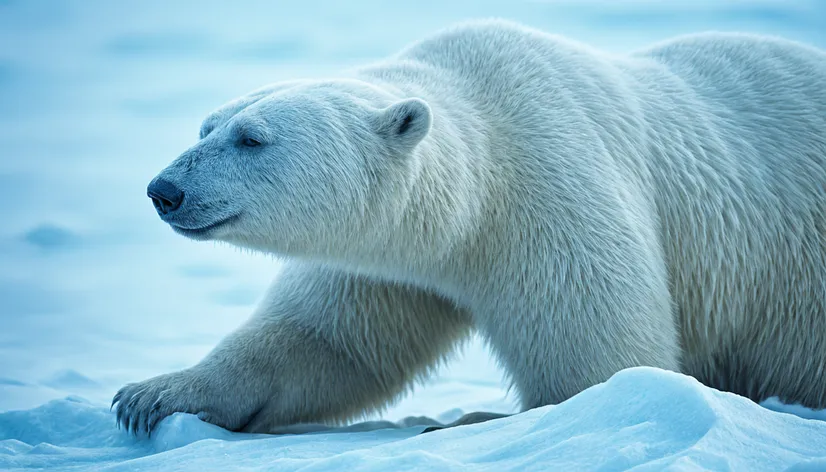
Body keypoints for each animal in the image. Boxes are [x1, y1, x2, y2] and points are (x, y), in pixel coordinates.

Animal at [111, 21, 824, 436]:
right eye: (206, 125)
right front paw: (153, 395)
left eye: (252, 138)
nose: (164, 190)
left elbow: (600, 355)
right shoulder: (389, 258)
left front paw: (482, 419)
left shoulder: (556, 187)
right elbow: (328, 342)